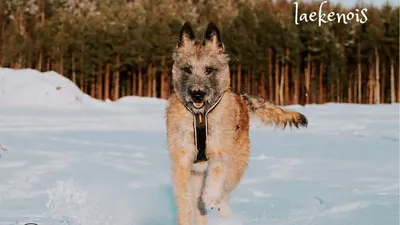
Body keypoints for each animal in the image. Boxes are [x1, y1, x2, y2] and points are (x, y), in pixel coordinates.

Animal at [164, 21, 308, 225]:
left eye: (209, 69)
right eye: (187, 69)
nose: (197, 94)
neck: (201, 116)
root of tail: (241, 98)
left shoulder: (220, 151)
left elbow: (217, 176)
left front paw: (210, 197)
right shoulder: (181, 159)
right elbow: (184, 198)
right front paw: (185, 215)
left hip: (236, 167)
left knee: (224, 192)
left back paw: (223, 211)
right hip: (198, 173)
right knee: (200, 205)